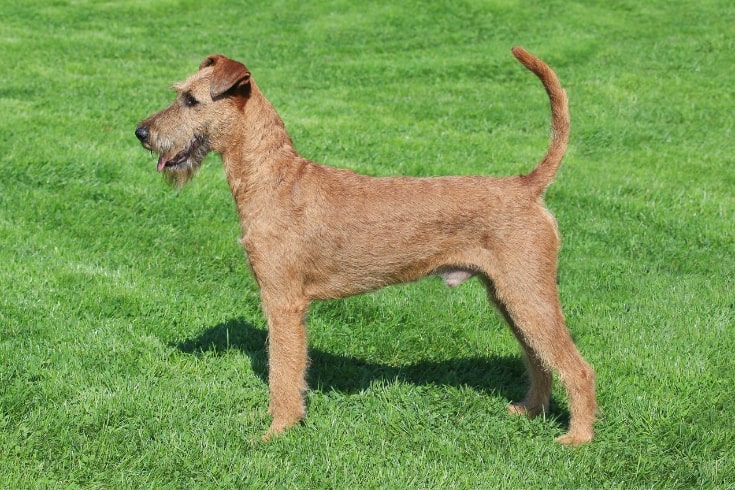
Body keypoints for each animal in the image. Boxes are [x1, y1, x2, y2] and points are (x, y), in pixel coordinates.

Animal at [135, 46, 600, 444]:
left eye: (191, 101)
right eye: (180, 95)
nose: (141, 132)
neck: (274, 179)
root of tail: (527, 186)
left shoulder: (283, 301)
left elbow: (283, 371)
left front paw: (277, 430)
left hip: (527, 292)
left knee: (577, 367)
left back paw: (577, 438)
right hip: (508, 295)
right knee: (540, 359)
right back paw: (529, 410)